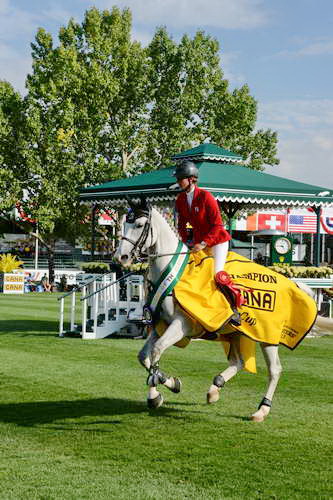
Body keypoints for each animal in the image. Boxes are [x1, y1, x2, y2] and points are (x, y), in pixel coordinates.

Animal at [115, 196, 332, 422]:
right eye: (124, 224)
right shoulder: (160, 325)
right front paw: (164, 389)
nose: (120, 258)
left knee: (274, 370)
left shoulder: (181, 326)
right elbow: (144, 357)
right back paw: (215, 389)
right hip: (236, 333)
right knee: (239, 362)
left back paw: (261, 410)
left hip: (267, 336)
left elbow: (156, 351)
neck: (172, 271)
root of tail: (292, 284)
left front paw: (159, 388)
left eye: (139, 225)